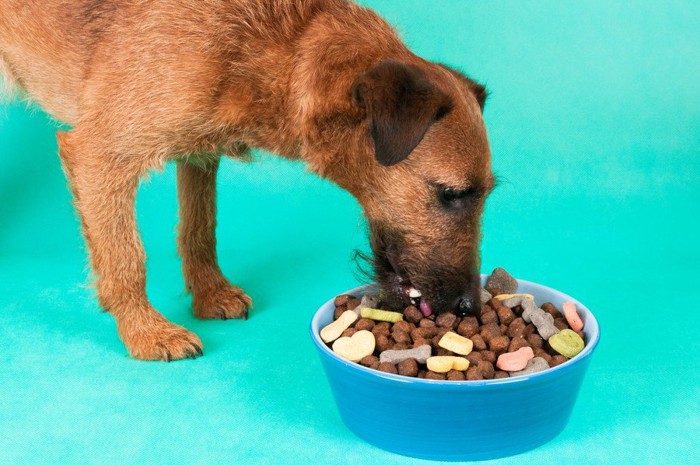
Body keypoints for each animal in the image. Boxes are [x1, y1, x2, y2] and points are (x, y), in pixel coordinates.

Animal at [0, 0, 494, 358]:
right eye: (453, 194)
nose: (471, 306)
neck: (286, 44)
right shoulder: (100, 157)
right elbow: (125, 257)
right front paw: (146, 332)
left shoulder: (198, 151)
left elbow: (199, 228)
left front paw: (209, 294)